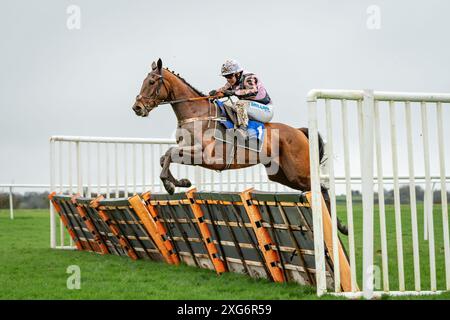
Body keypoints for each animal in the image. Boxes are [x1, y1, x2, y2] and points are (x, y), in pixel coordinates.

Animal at [132, 58, 350, 235]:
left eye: (152, 82)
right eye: (144, 81)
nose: (137, 107)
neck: (197, 115)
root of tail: (298, 131)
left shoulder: (206, 155)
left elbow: (170, 153)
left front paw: (170, 185)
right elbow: (164, 157)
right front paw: (181, 182)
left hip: (298, 172)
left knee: (322, 189)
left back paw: (339, 226)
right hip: (282, 175)